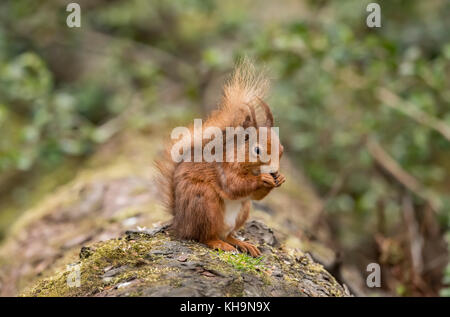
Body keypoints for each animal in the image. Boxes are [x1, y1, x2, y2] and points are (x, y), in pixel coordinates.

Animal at [156, 59, 284, 256]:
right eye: (257, 150)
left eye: (282, 150)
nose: (274, 171)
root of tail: (180, 223)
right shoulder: (223, 169)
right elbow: (234, 186)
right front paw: (263, 178)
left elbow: (256, 196)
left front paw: (279, 178)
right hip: (205, 204)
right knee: (205, 236)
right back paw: (219, 244)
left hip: (242, 211)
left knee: (228, 234)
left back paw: (242, 244)